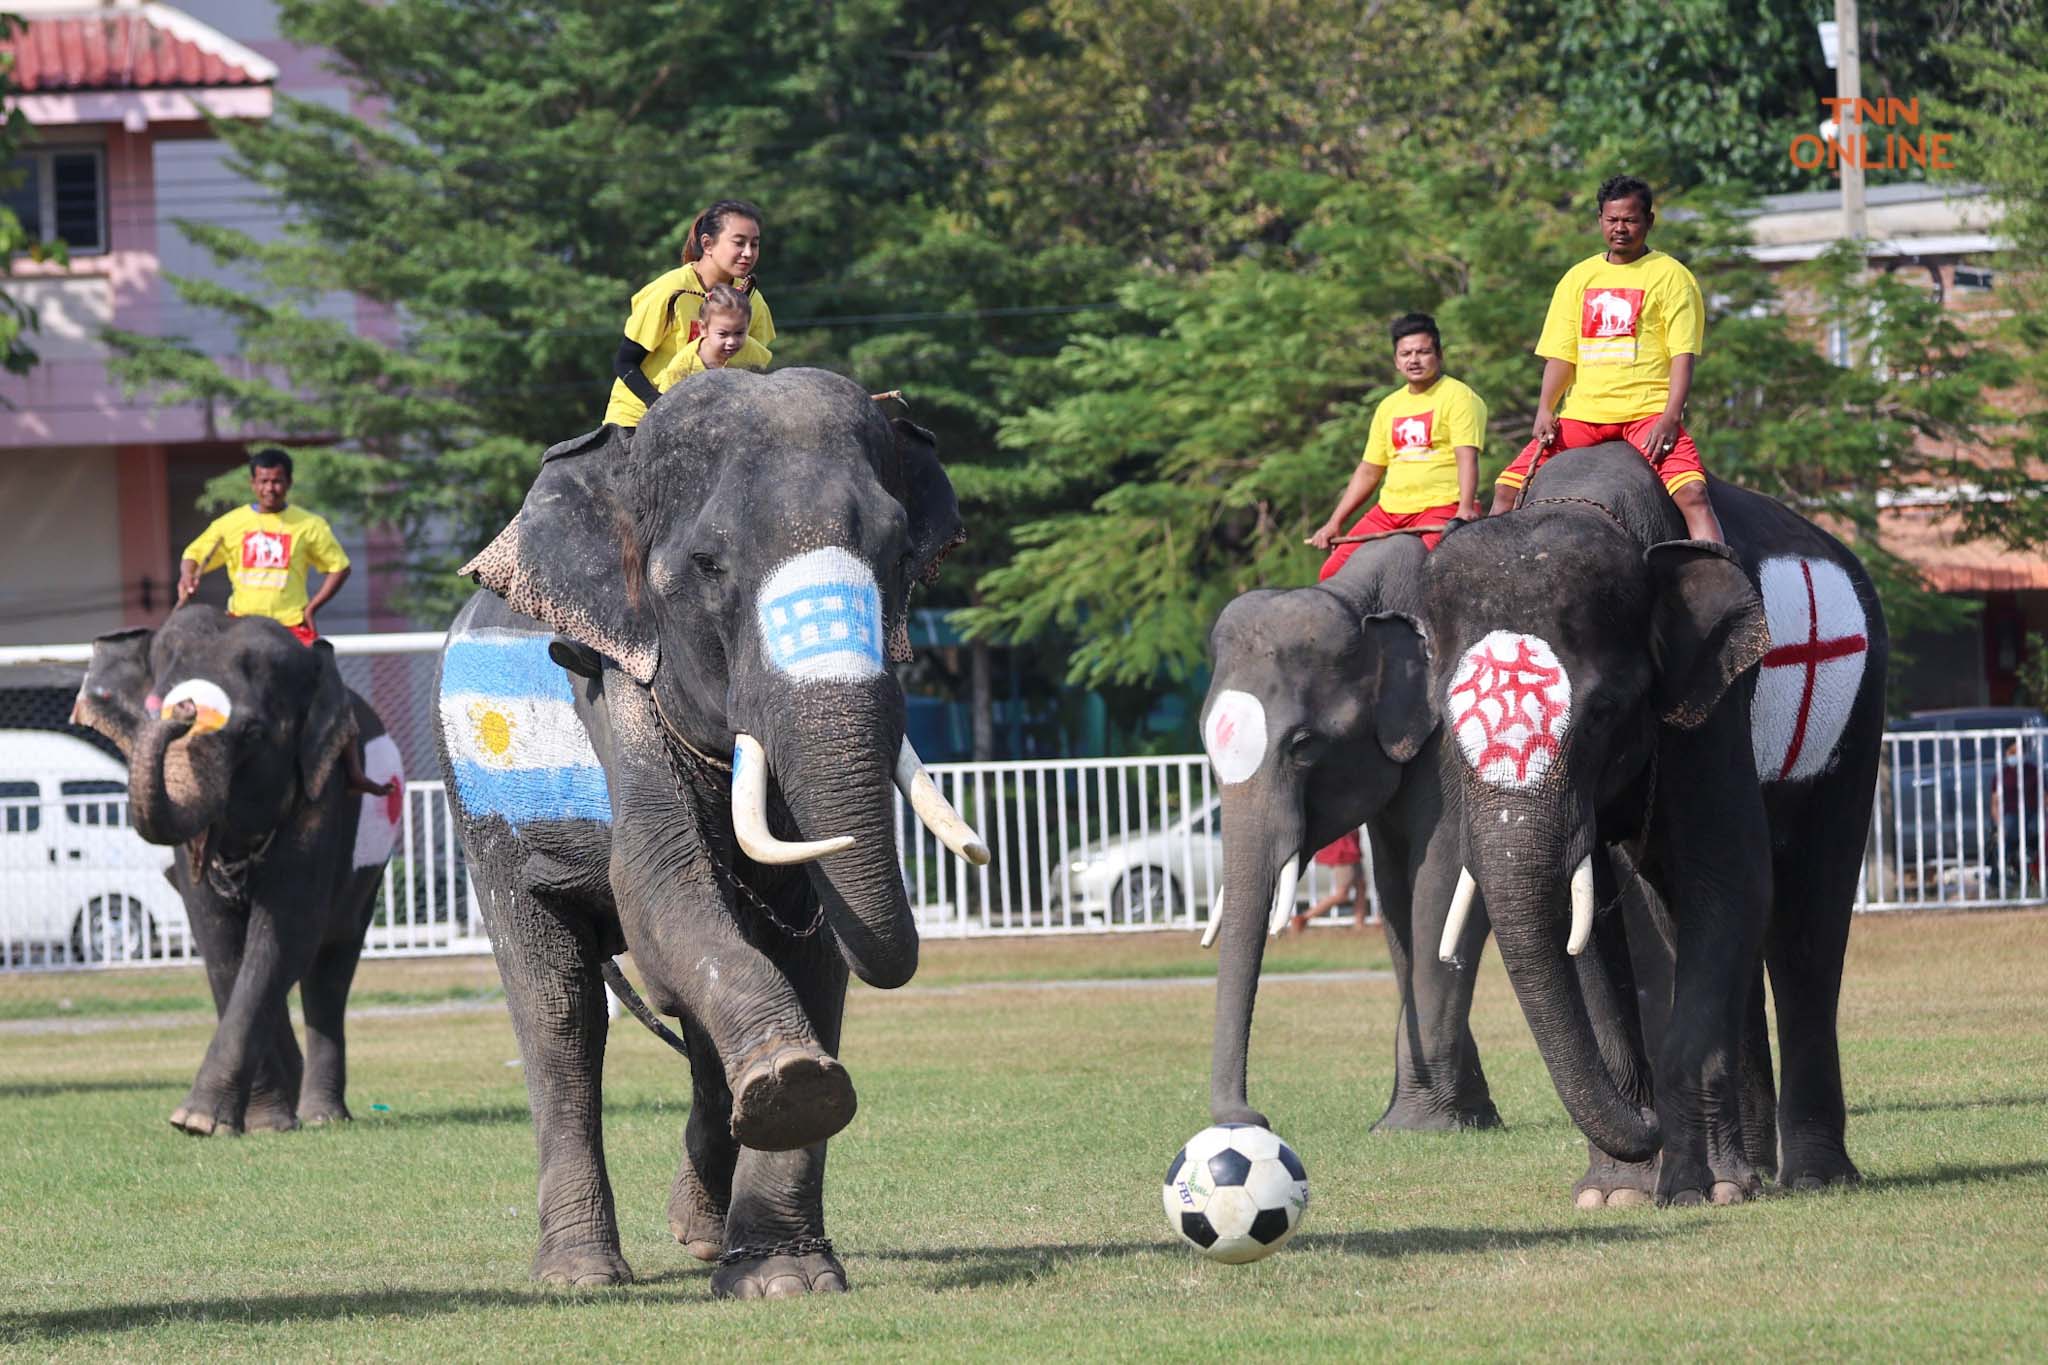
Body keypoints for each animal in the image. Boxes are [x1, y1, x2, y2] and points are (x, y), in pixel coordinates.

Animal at [71, 609, 403, 1129]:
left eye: (252, 734)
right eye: (149, 713)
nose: (185, 709)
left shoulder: (321, 795)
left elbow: (286, 932)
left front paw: (196, 1121)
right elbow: (217, 940)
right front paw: (253, 1124)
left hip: (368, 868)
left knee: (331, 962)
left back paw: (322, 1116)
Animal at [442, 366, 991, 1301]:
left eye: (899, 557)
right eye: (708, 564)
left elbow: (814, 949)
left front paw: (785, 1276)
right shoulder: (612, 682)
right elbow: (664, 891)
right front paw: (797, 1086)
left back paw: (698, 1233)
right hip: (483, 813)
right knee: (559, 1009)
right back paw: (583, 1275)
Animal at [1196, 532, 1507, 1146]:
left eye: (1303, 746)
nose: (1251, 1118)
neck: (1363, 599)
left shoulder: (1456, 730)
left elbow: (1442, 880)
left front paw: (1415, 1127)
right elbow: (1397, 894)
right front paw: (1464, 1118)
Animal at [1417, 444, 1875, 1203]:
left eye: (1603, 713)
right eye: (1446, 722)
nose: (1648, 1125)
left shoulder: (1713, 700)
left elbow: (1731, 880)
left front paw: (1694, 1189)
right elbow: (1591, 924)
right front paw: (1616, 1193)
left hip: (1857, 709)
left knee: (1807, 918)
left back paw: (1807, 1180)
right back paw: (1750, 1174)